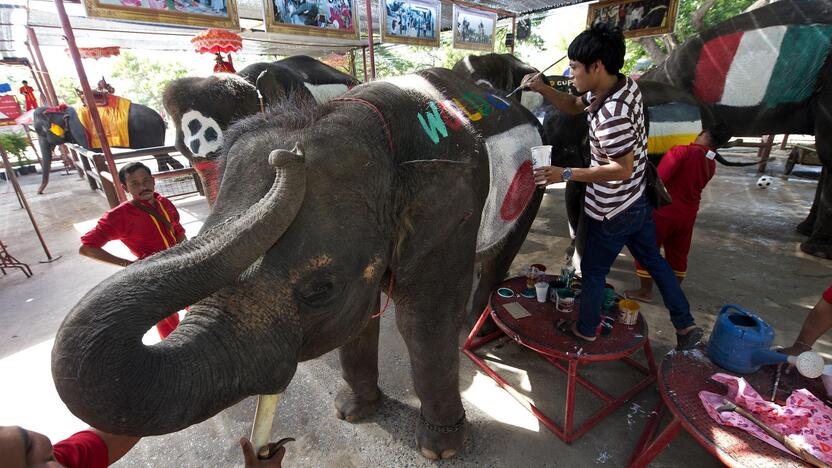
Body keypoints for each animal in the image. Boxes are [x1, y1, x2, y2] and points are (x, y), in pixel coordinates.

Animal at [33, 101, 182, 193]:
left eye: (42, 131)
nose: (39, 192)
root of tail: (160, 118)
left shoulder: (81, 131)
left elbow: (92, 152)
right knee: (159, 154)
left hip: (148, 131)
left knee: (158, 153)